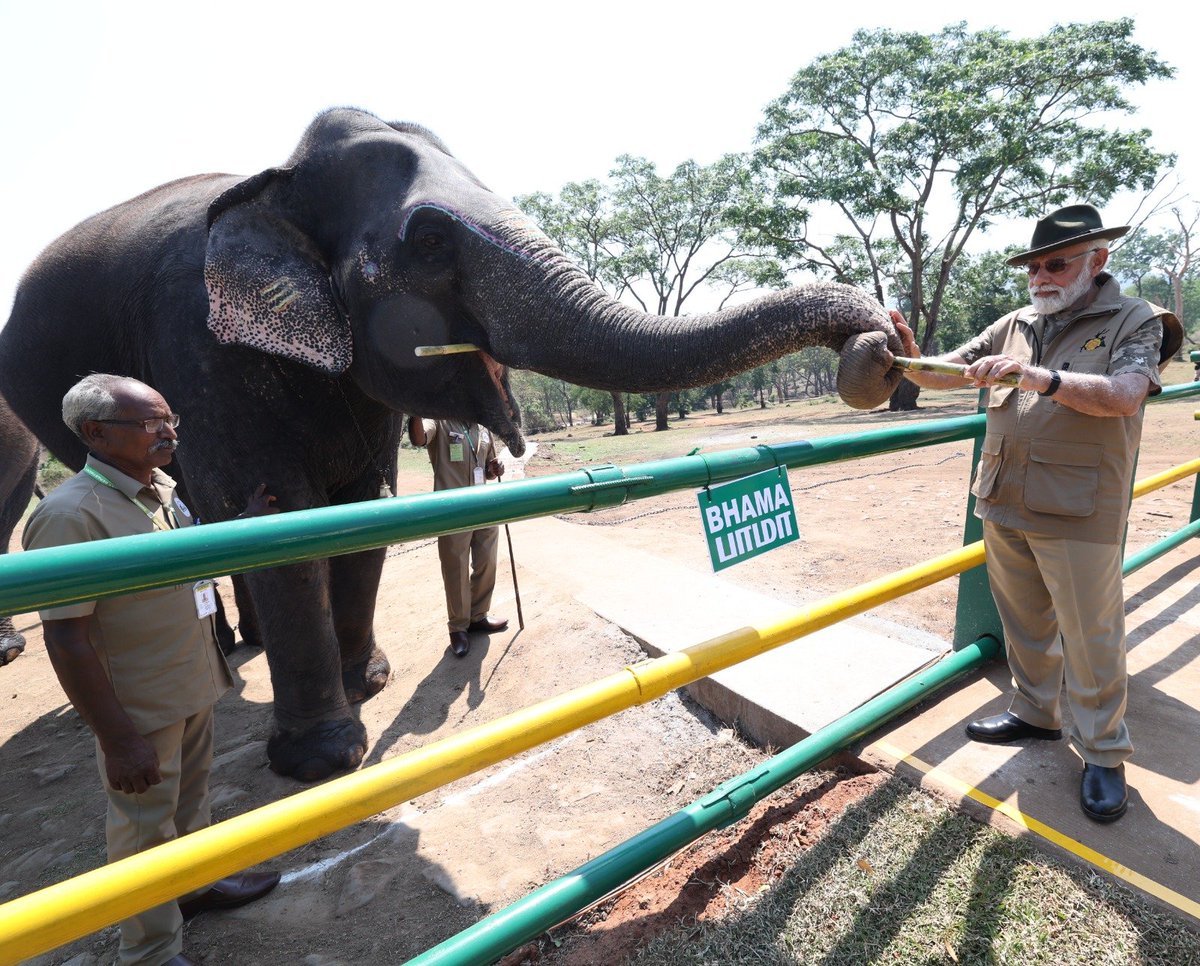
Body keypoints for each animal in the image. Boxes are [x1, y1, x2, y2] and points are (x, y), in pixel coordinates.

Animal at [0, 107, 901, 780]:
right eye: (430, 240)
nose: (879, 343)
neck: (277, 183)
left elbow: (361, 508)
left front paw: (370, 683)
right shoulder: (199, 345)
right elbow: (274, 509)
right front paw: (323, 763)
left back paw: (246, 650)